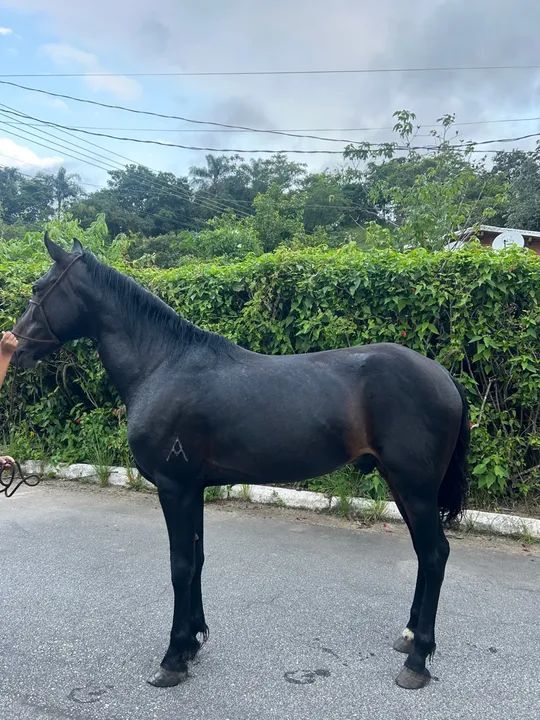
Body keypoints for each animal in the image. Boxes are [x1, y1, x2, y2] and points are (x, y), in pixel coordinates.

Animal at [13, 234, 469, 691]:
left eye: (38, 287)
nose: (15, 348)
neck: (162, 365)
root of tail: (442, 374)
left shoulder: (174, 487)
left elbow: (180, 565)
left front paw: (173, 657)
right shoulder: (191, 489)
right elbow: (196, 560)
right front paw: (193, 642)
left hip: (415, 487)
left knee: (435, 554)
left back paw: (418, 661)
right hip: (400, 484)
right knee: (423, 552)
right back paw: (409, 637)